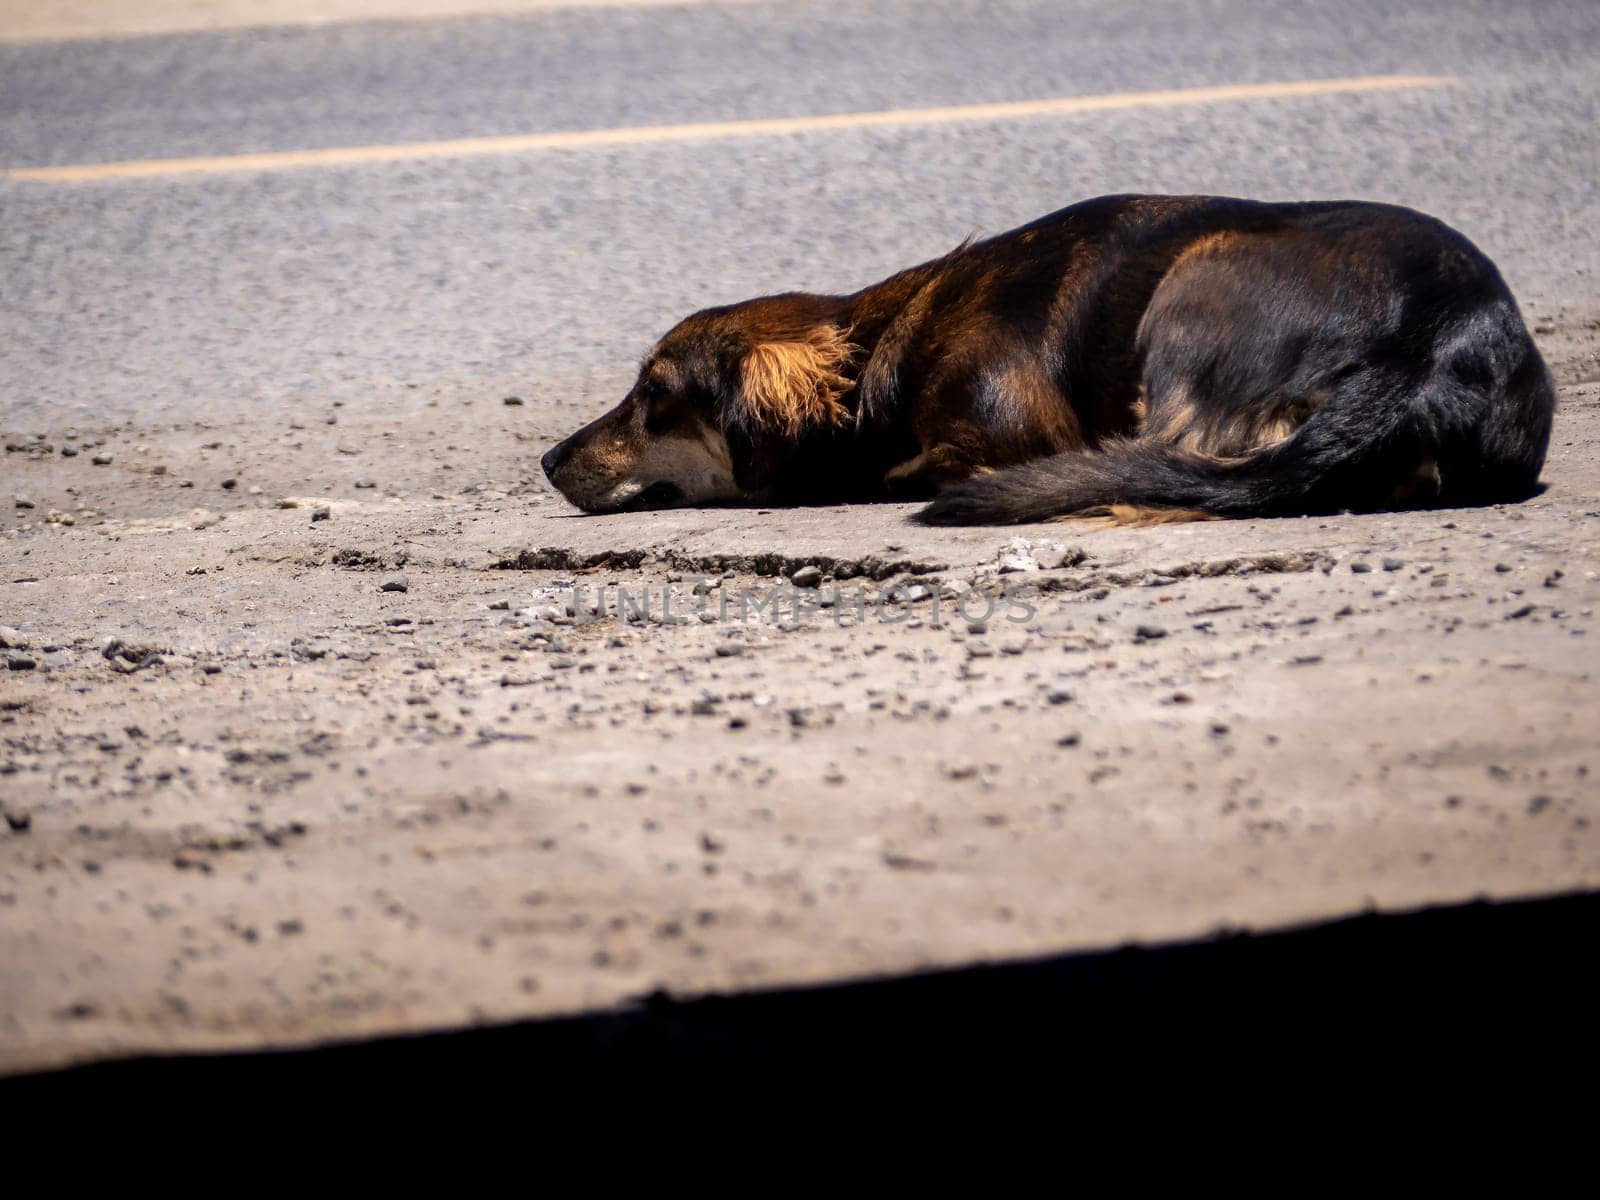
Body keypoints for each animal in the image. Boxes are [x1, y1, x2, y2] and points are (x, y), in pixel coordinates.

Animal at [540, 195, 1548, 524]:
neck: (880, 352)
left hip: (1201, 272)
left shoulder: (1003, 433)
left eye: (652, 394)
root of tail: (1432, 339)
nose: (548, 459)